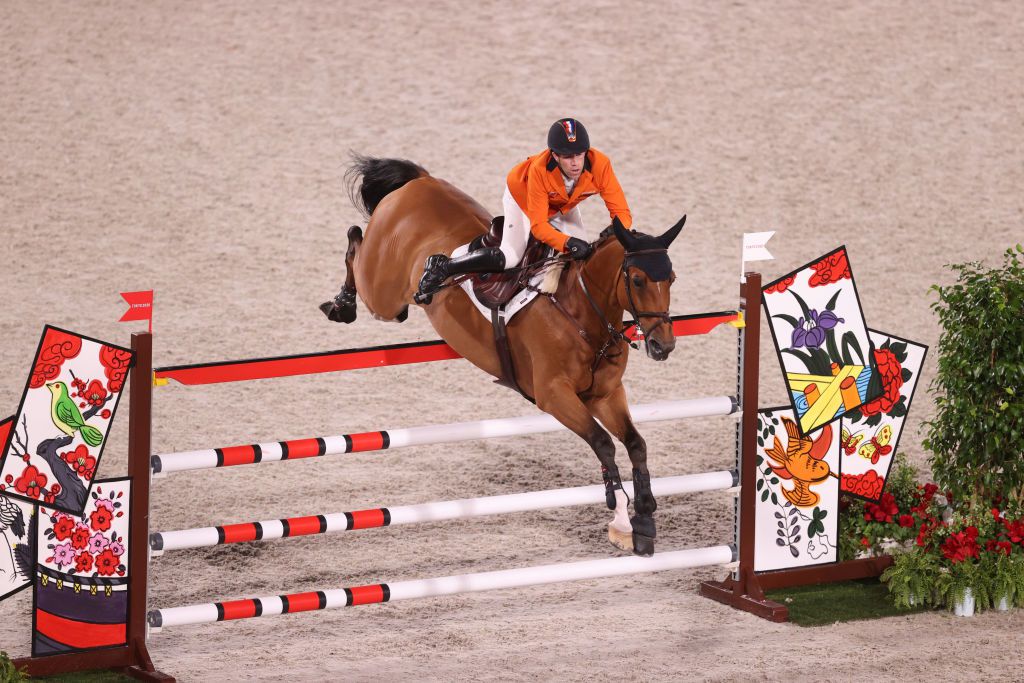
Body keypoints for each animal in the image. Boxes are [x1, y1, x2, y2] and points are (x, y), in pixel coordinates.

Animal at [321, 157, 688, 557]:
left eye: (671, 278)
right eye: (637, 280)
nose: (663, 346)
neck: (581, 313)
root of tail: (420, 182)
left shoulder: (605, 395)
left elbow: (636, 444)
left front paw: (645, 518)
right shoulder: (554, 396)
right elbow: (603, 444)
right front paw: (620, 519)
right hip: (383, 296)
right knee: (356, 241)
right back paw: (345, 303)